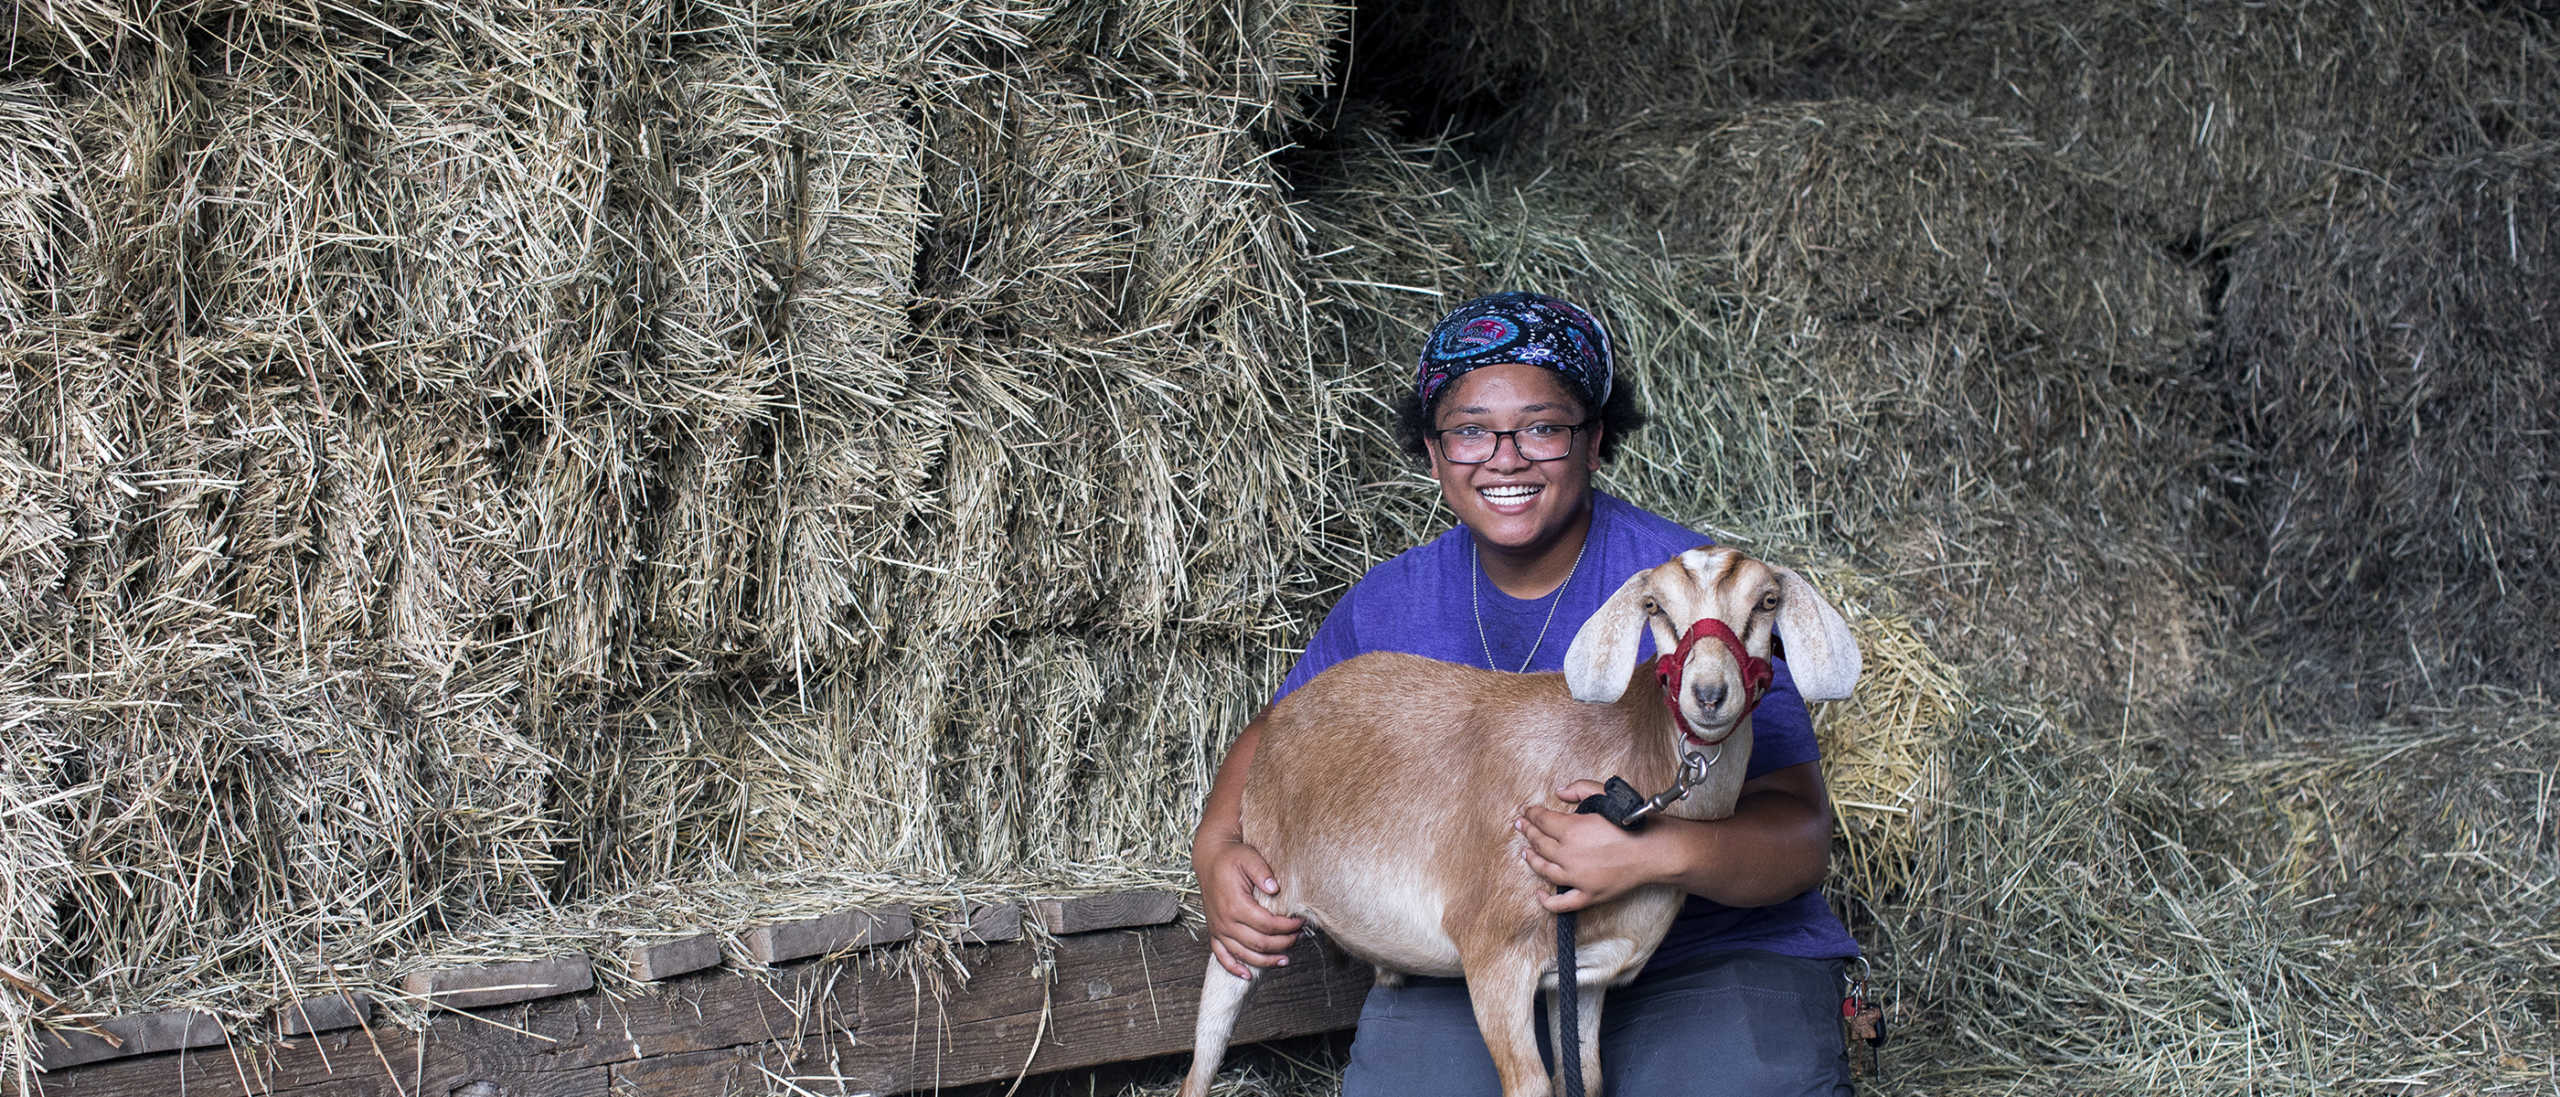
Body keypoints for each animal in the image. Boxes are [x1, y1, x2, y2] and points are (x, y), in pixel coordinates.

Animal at [1177, 547, 1863, 1094]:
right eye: (1656, 608)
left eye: (1767, 602)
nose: (1710, 693)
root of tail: (1280, 713)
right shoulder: (1494, 954)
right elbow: (1531, 1083)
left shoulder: (1582, 978)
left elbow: (1585, 1077)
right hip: (1259, 905)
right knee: (1204, 1048)